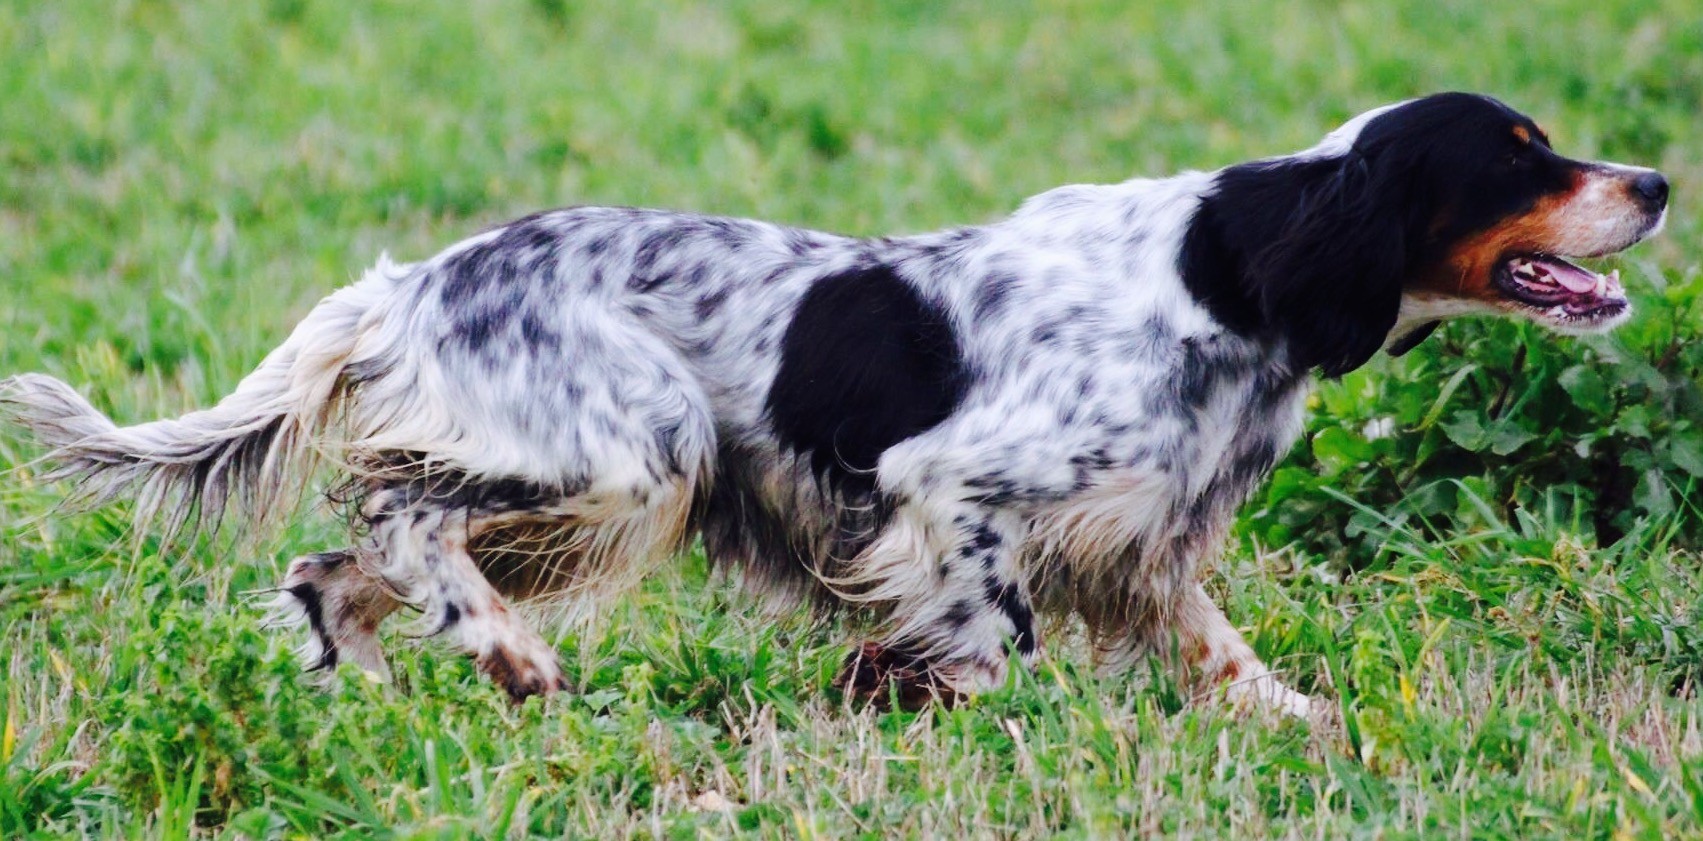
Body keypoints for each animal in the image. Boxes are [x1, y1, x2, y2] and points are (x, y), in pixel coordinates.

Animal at [0, 91, 1668, 711]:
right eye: (1516, 152)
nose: (1653, 182)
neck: (1229, 277)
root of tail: (406, 283)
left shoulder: (1145, 547)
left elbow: (1229, 660)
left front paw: (1309, 728)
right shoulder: (952, 489)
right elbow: (991, 628)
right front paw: (944, 699)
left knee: (339, 554)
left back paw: (391, 662)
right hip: (640, 449)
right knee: (404, 515)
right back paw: (511, 654)